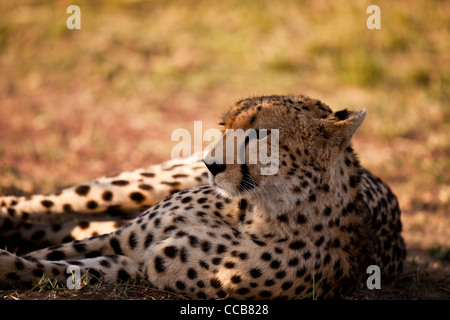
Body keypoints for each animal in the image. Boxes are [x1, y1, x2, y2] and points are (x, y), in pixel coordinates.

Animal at [0, 94, 406, 298]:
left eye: (261, 134)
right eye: (224, 126)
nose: (210, 164)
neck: (256, 212)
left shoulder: (139, 264)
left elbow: (54, 266)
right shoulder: (126, 240)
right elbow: (48, 256)